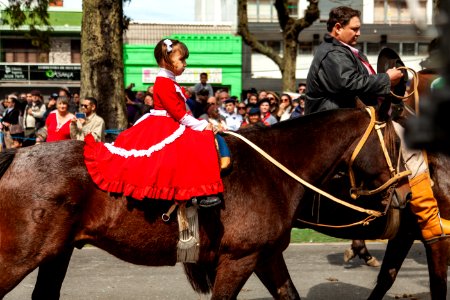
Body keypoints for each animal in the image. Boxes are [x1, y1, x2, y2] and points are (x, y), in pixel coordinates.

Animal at [0, 108, 404, 300]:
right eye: (396, 143)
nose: (401, 191)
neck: (272, 168)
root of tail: (17, 155)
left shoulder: (267, 256)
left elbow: (289, 294)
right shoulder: (238, 259)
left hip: (56, 254)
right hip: (18, 258)